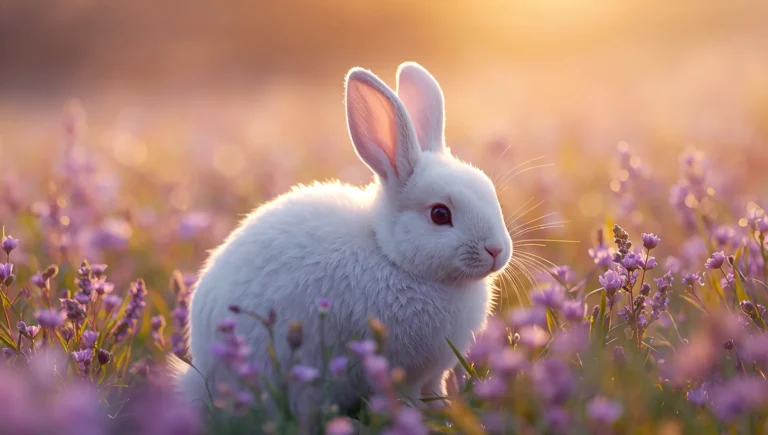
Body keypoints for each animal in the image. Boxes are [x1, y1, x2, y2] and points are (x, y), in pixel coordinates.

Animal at [174, 61, 513, 418]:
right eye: (439, 214)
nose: (496, 250)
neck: (390, 255)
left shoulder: (433, 374)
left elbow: (436, 390)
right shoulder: (402, 372)